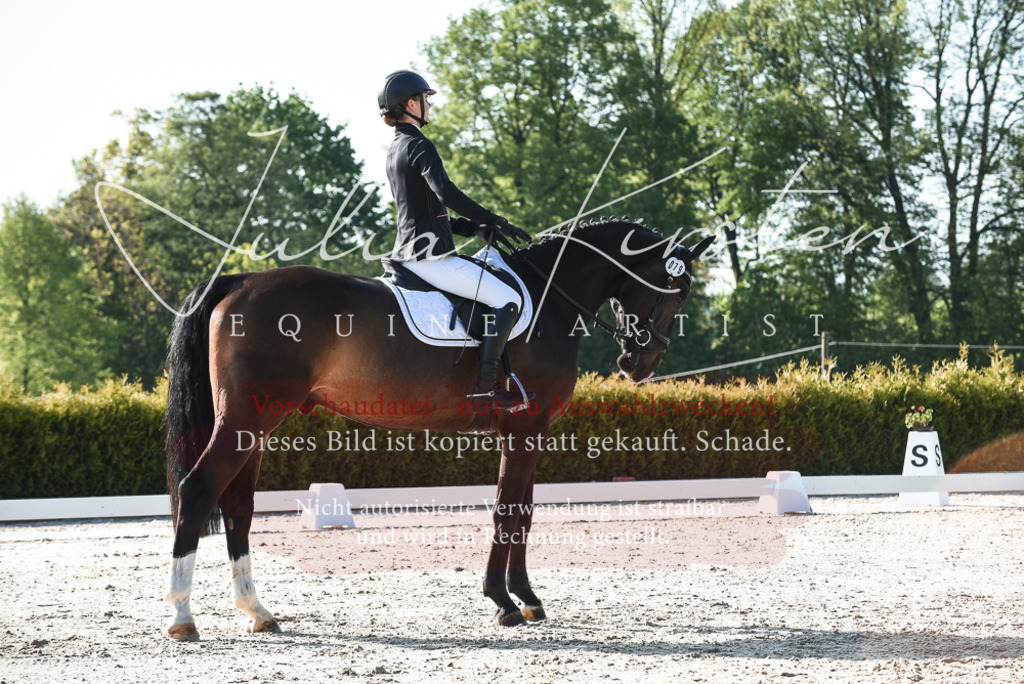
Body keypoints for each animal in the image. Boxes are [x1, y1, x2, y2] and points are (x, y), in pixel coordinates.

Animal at [163, 218, 714, 640]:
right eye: (679, 290)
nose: (639, 364)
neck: (549, 296)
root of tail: (240, 280)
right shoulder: (525, 428)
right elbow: (507, 510)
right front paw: (505, 602)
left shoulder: (525, 431)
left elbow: (523, 512)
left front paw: (526, 597)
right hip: (247, 419)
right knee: (199, 489)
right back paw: (182, 616)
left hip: (253, 424)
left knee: (238, 505)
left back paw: (258, 612)